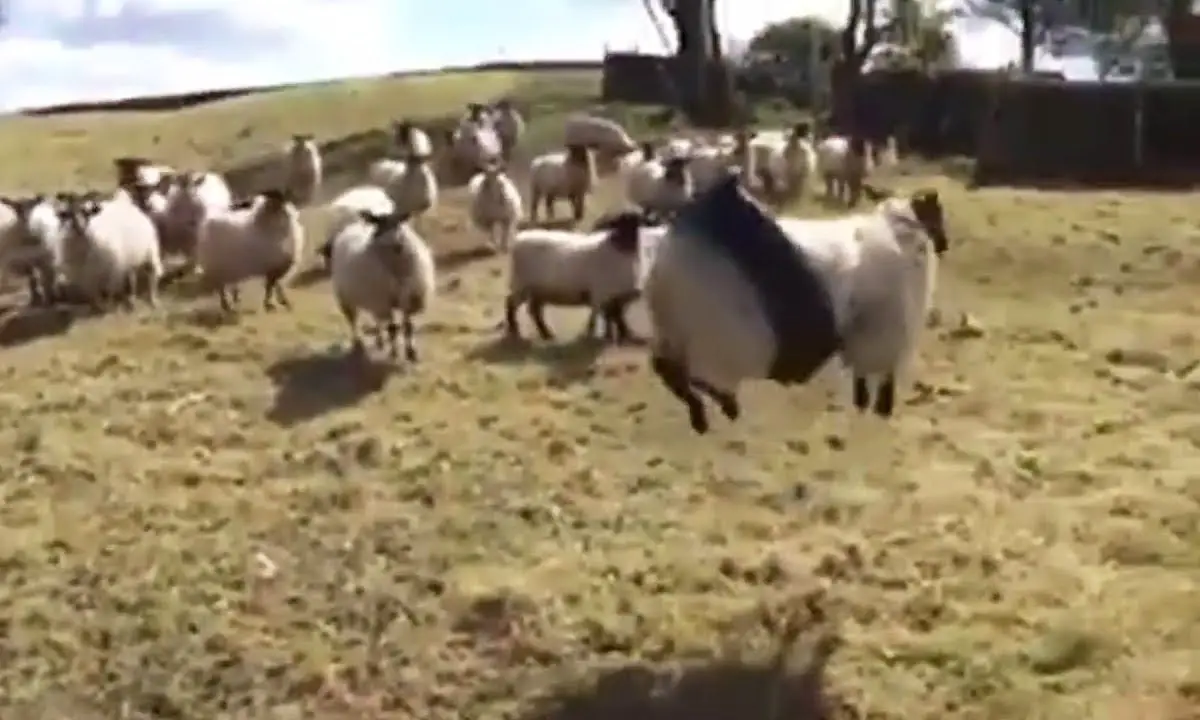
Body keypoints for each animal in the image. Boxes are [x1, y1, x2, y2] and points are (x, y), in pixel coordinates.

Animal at [328, 210, 436, 364]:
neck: (396, 267)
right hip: (347, 298)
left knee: (377, 321)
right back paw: (358, 342)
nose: (395, 243)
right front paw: (394, 353)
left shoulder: (408, 298)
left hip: (374, 299)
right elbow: (392, 329)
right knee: (353, 321)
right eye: (377, 223)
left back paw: (380, 341)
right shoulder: (384, 301)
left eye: (398, 222)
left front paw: (412, 353)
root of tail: (354, 225)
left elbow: (408, 326)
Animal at [501, 210, 652, 345]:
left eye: (637, 223)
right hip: (522, 284)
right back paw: (515, 331)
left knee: (534, 311)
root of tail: (519, 238)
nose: (627, 242)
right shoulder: (600, 293)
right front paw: (599, 336)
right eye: (619, 223)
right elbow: (605, 316)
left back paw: (547, 335)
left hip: (538, 290)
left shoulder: (617, 296)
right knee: (511, 303)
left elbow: (616, 316)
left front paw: (619, 336)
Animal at [643, 175, 950, 432]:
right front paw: (879, 412)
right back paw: (722, 411)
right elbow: (879, 382)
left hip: (679, 336)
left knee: (670, 370)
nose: (944, 244)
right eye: (936, 212)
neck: (899, 230)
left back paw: (706, 416)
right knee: (695, 377)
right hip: (723, 342)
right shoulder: (887, 335)